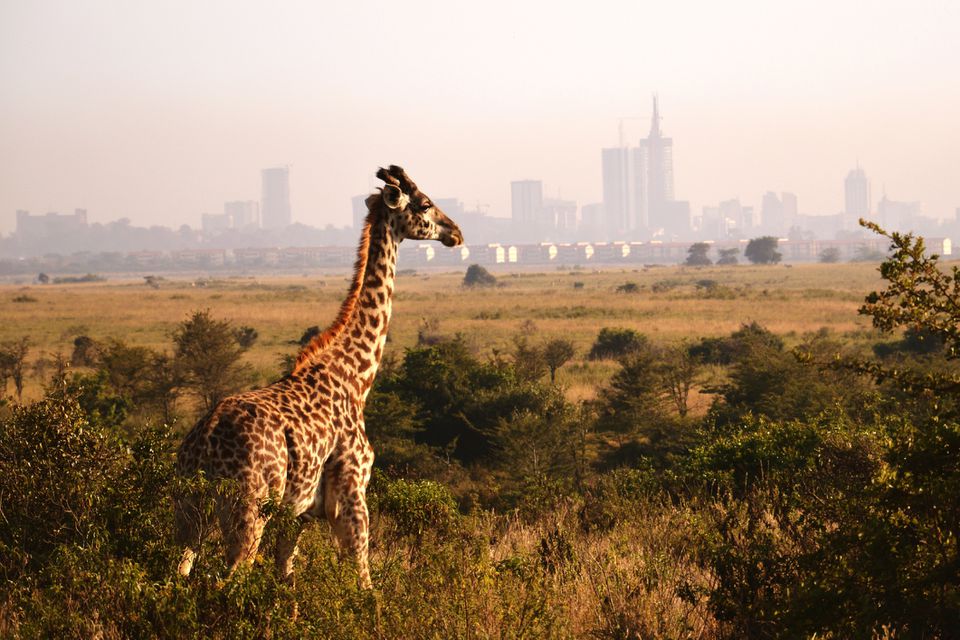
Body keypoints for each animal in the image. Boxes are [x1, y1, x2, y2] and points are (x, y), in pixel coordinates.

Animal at [174, 166, 464, 592]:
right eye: (425, 204)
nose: (456, 232)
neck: (356, 377)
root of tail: (205, 441)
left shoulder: (298, 513)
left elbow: (286, 579)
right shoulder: (351, 492)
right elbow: (363, 579)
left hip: (188, 509)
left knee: (177, 571)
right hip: (248, 508)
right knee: (229, 577)